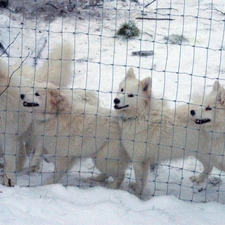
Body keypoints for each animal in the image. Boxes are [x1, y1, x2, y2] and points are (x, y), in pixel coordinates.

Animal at [0, 42, 73, 186]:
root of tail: (38, 79)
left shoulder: (7, 135)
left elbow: (9, 161)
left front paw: (8, 180)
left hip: (33, 131)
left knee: (36, 149)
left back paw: (33, 166)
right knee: (23, 152)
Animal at [114, 67, 209, 199]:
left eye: (131, 95)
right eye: (122, 89)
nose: (116, 100)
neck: (139, 116)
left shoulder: (138, 160)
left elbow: (140, 180)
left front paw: (137, 196)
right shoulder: (146, 161)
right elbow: (143, 180)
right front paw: (139, 190)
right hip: (199, 153)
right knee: (209, 166)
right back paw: (199, 179)